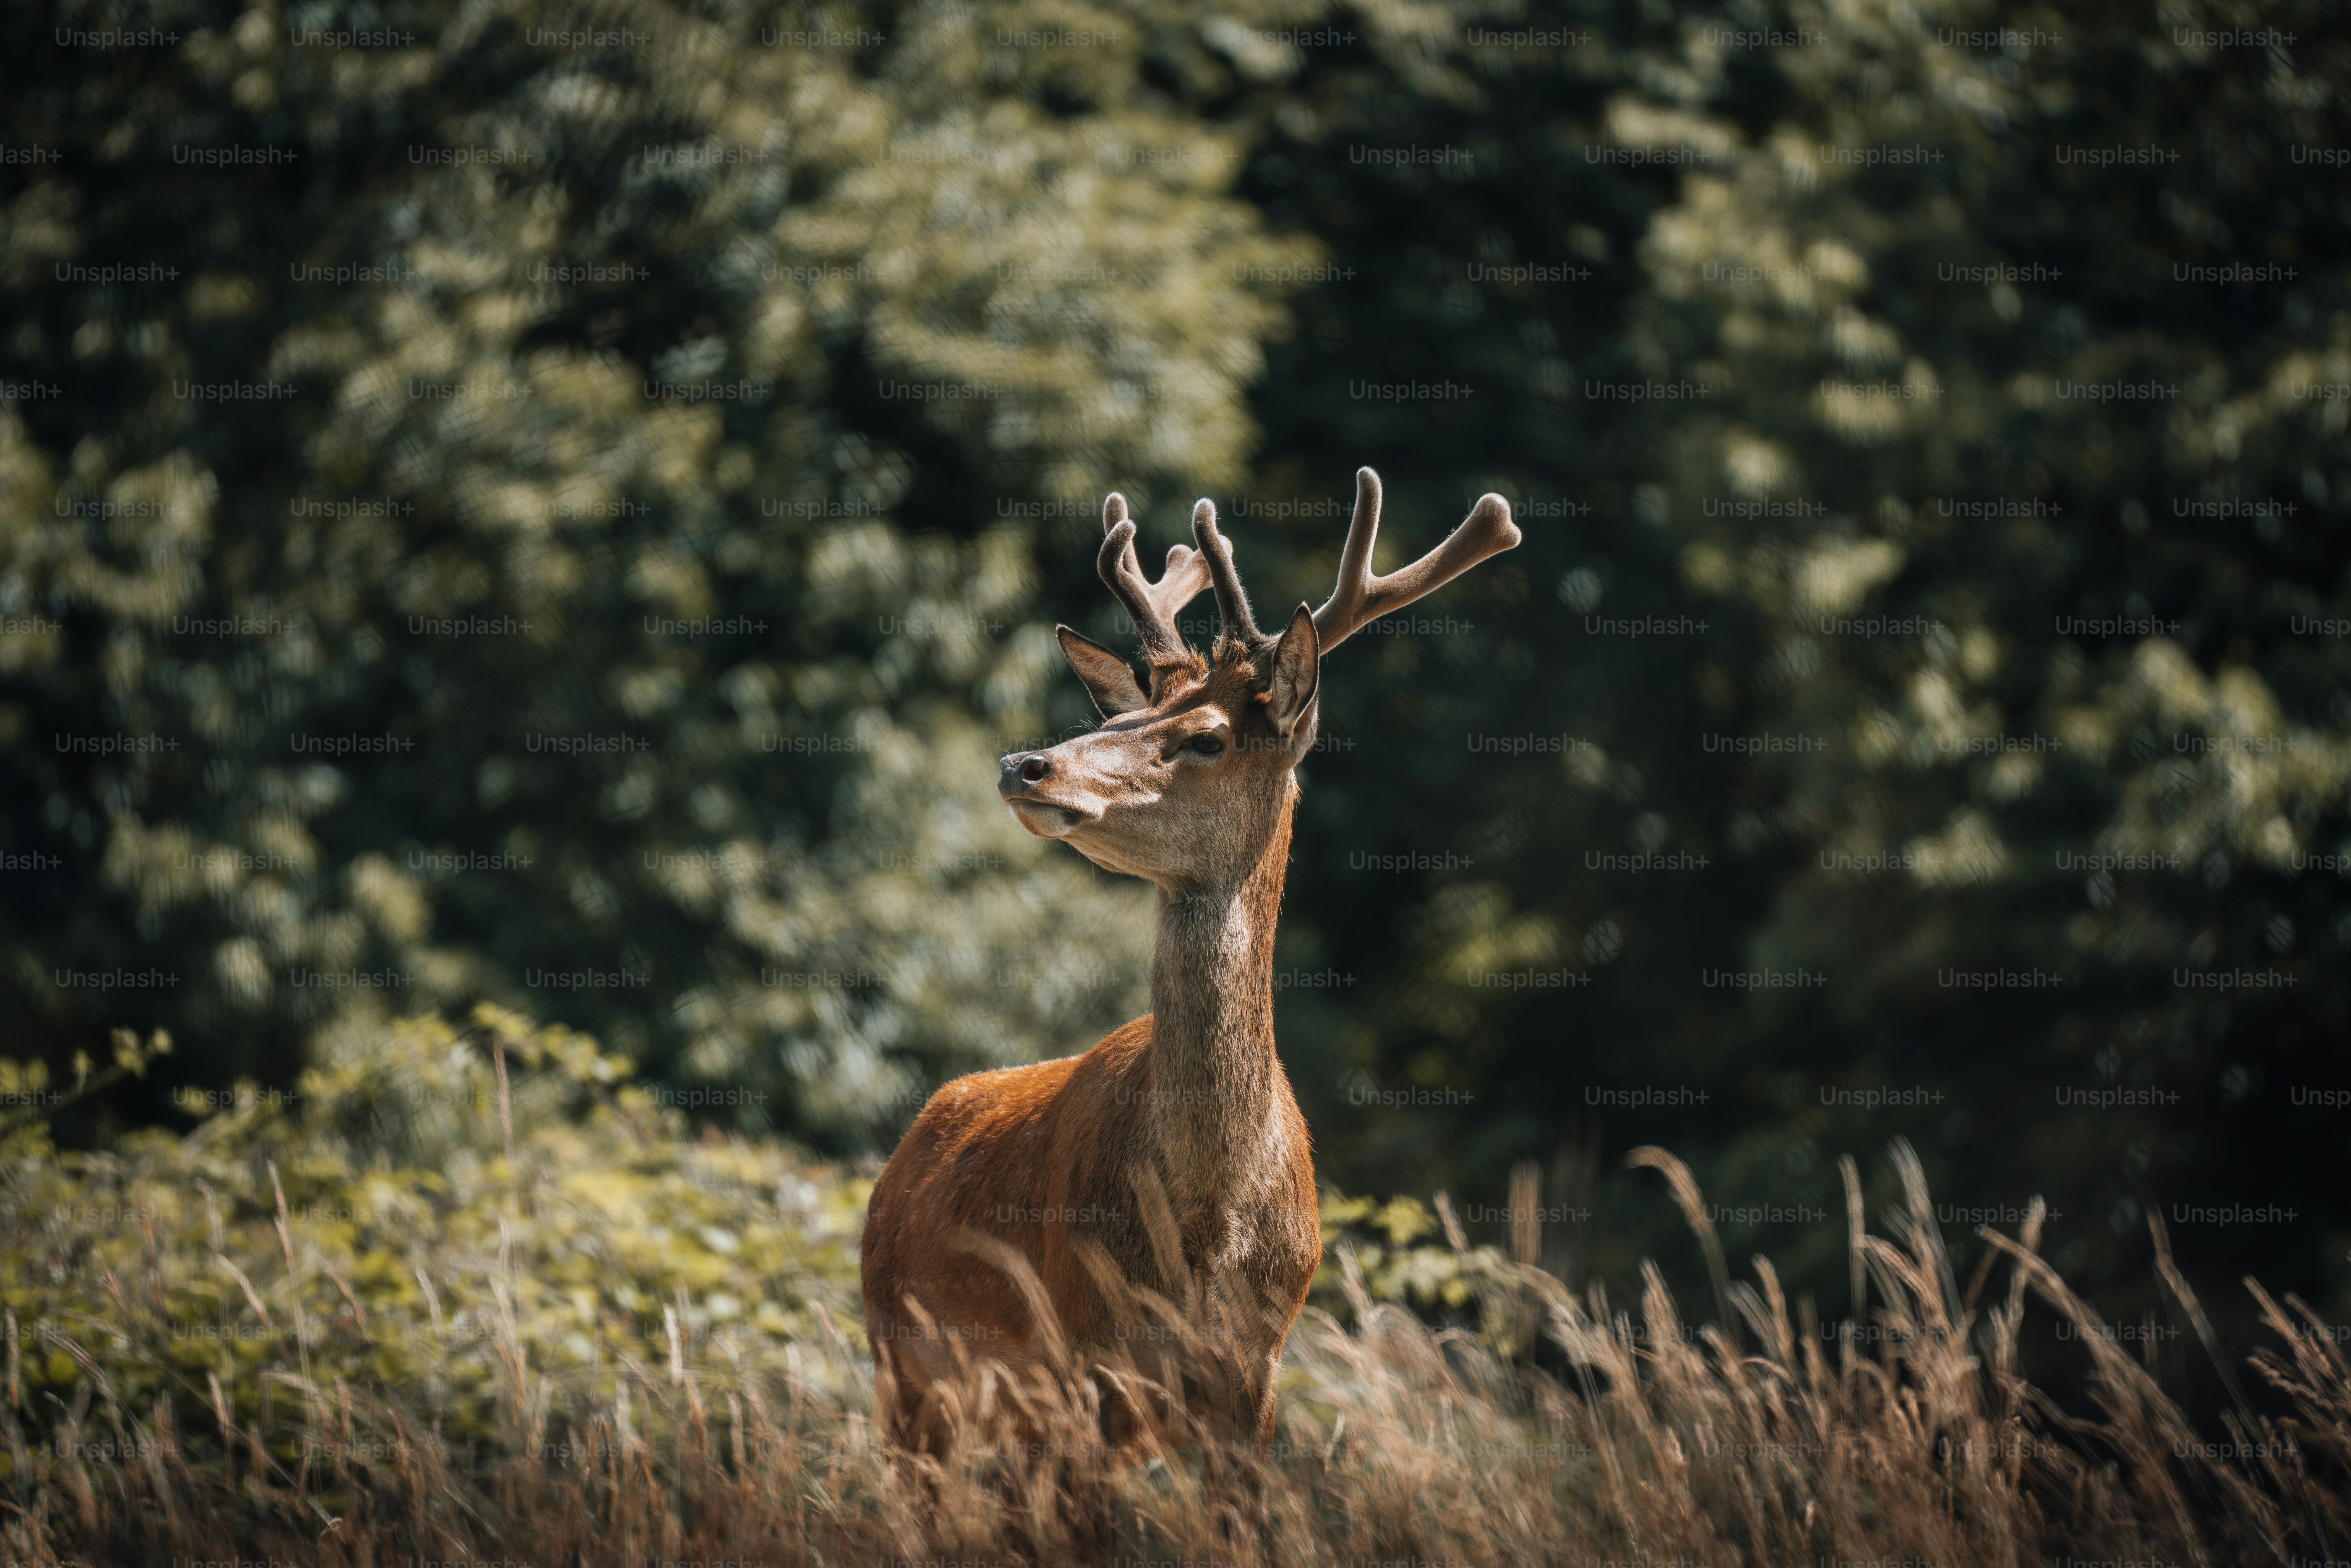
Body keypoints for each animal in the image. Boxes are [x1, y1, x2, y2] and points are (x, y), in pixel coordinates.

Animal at [860, 467, 1520, 1464]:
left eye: (1206, 737)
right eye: (1125, 714)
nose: (1025, 763)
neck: (1207, 1232)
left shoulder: (1257, 1368)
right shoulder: (1086, 1349)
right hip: (907, 1376)